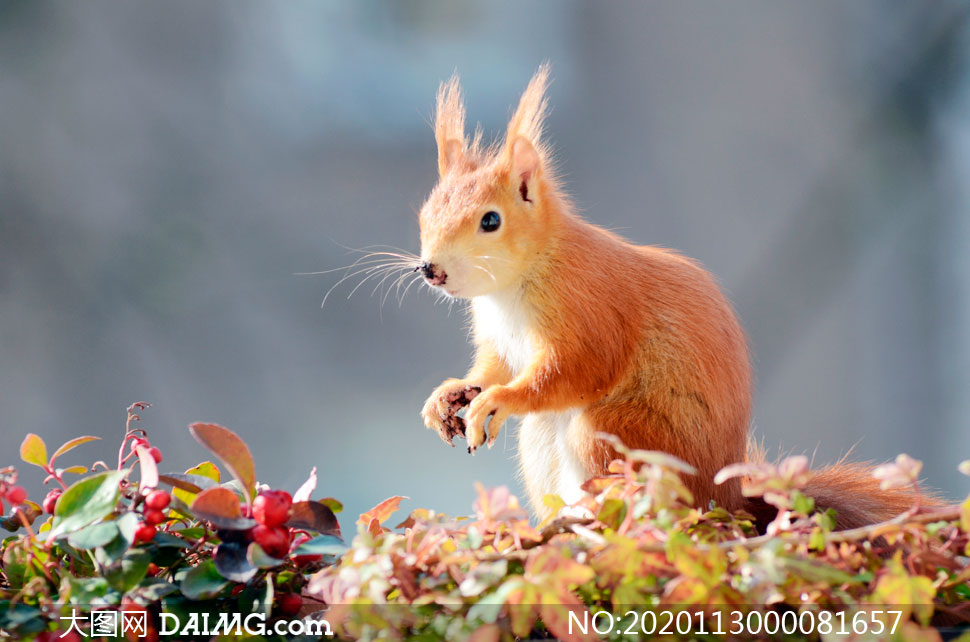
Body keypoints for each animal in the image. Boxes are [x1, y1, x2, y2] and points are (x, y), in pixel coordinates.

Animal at [418, 65, 932, 528]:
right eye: (425, 211)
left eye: (491, 220)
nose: (431, 270)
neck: (514, 284)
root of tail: (727, 500)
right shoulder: (499, 337)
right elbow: (494, 367)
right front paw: (450, 394)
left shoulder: (587, 306)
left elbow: (576, 369)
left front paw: (497, 400)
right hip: (544, 440)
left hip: (624, 438)